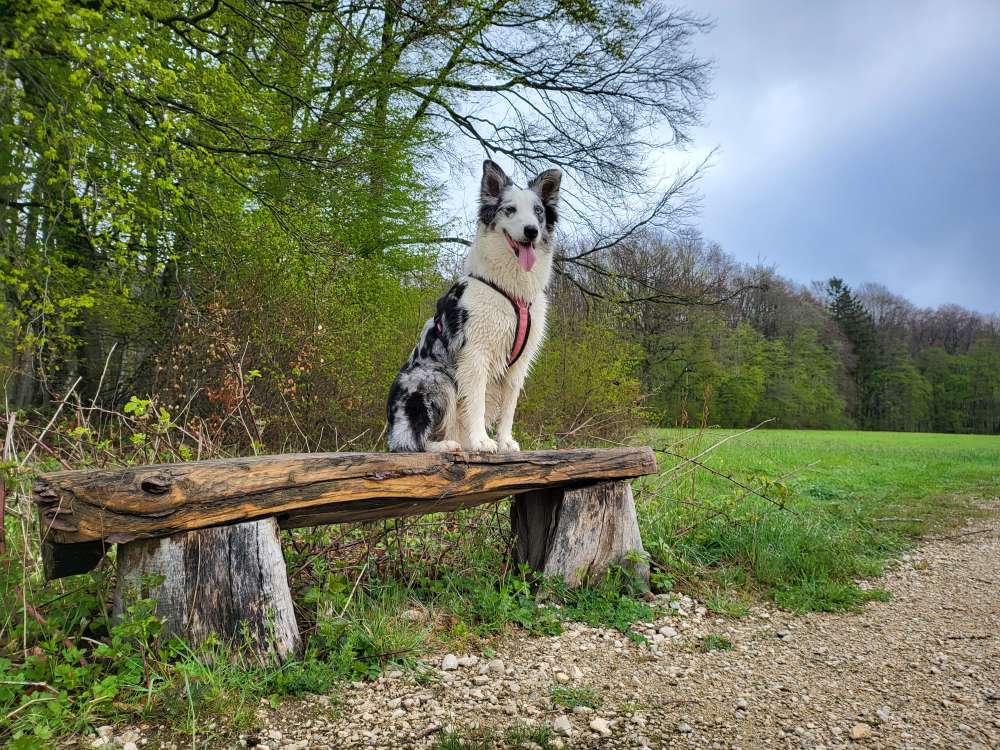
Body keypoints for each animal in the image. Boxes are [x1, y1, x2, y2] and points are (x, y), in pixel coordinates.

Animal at [386, 160, 564, 452]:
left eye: (538, 211)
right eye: (510, 209)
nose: (531, 231)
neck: (511, 289)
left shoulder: (518, 366)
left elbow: (509, 409)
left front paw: (504, 441)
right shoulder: (475, 355)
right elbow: (476, 403)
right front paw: (482, 440)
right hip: (435, 378)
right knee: (410, 442)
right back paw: (446, 445)